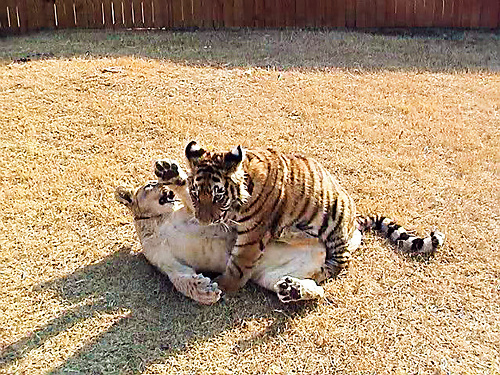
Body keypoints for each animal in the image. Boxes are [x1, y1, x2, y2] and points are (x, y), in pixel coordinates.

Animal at [156, 142, 446, 296]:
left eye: (218, 196)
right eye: (197, 194)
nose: (204, 221)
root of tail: (355, 221)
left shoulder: (251, 236)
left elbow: (237, 267)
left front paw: (219, 287)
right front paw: (168, 173)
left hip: (335, 232)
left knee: (334, 267)